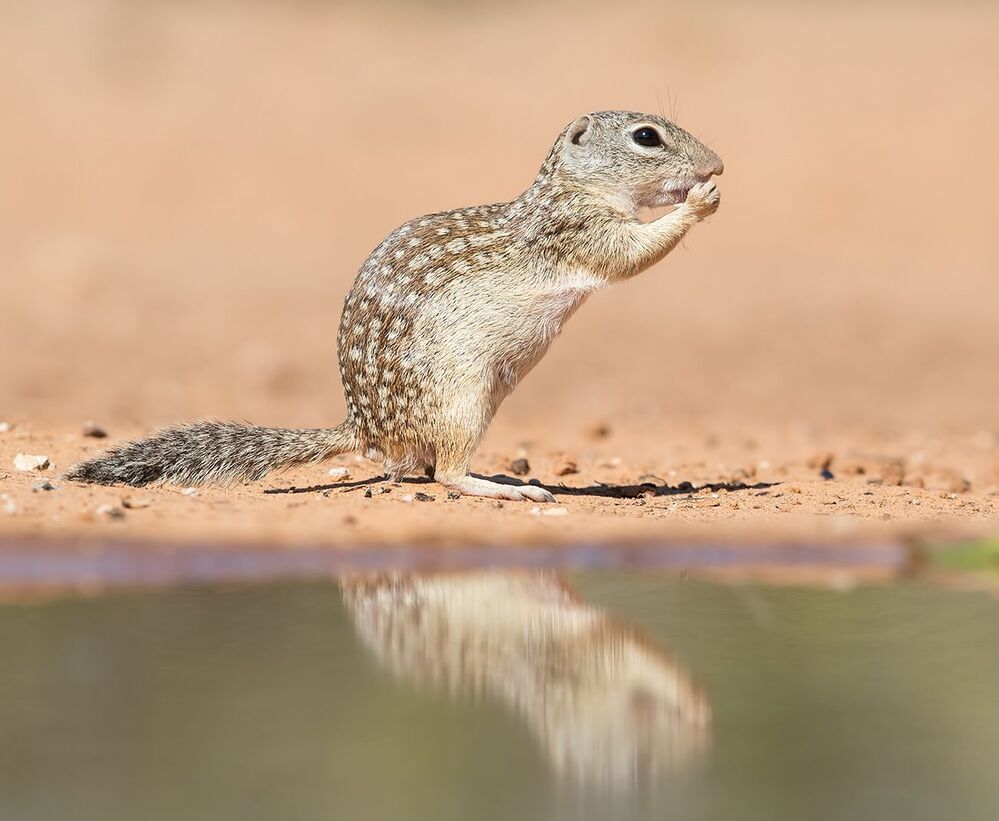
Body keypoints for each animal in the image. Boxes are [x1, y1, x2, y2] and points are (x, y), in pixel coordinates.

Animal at [67, 110, 723, 502]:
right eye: (647, 137)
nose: (717, 164)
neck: (569, 187)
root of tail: (363, 427)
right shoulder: (579, 230)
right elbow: (630, 255)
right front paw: (700, 200)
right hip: (463, 399)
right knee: (447, 473)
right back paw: (507, 488)